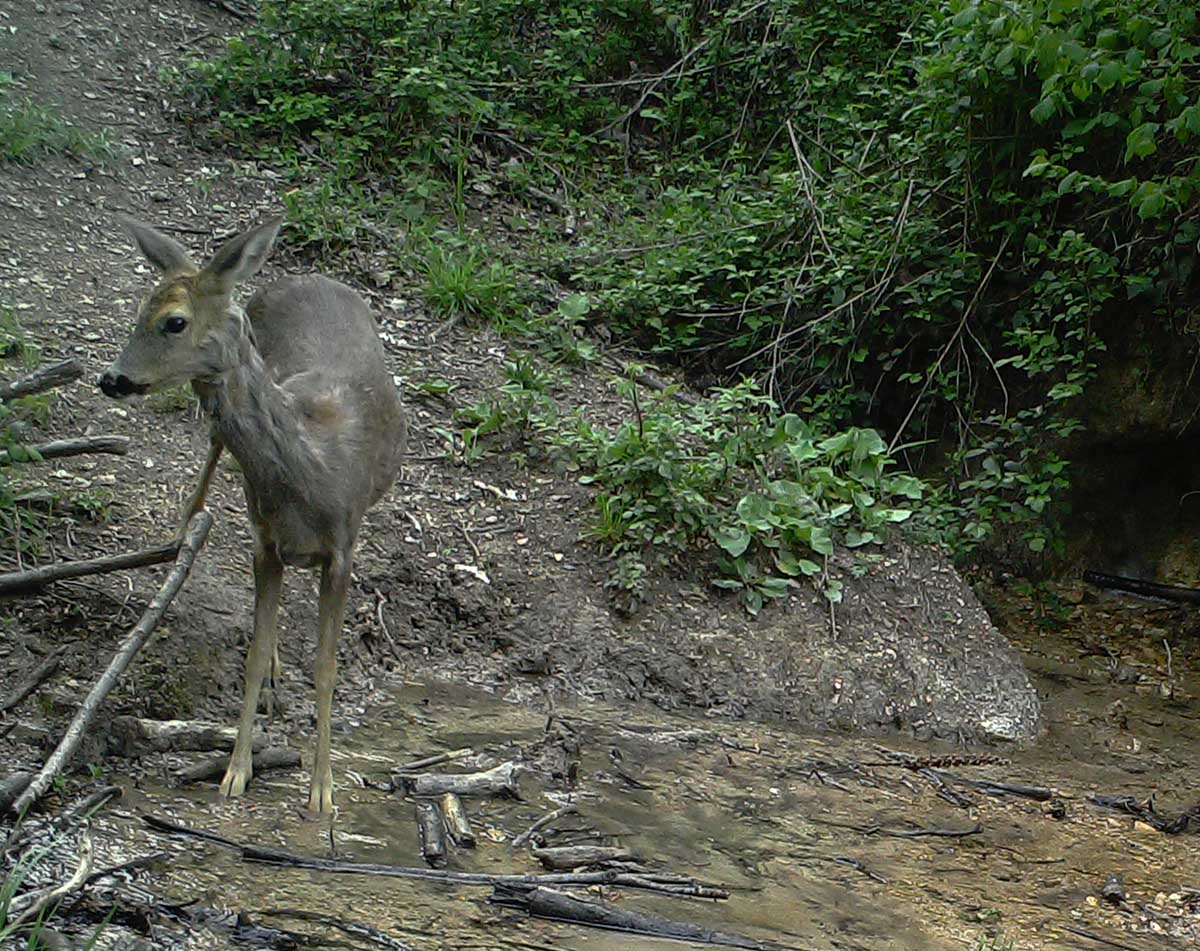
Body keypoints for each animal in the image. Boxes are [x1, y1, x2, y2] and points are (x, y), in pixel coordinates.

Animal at [99, 217, 408, 816]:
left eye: (175, 321)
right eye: (139, 309)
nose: (113, 379)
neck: (308, 471)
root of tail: (306, 275)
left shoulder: (343, 545)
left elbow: (327, 667)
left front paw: (322, 792)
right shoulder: (264, 544)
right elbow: (251, 654)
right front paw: (235, 771)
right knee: (214, 442)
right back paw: (184, 529)